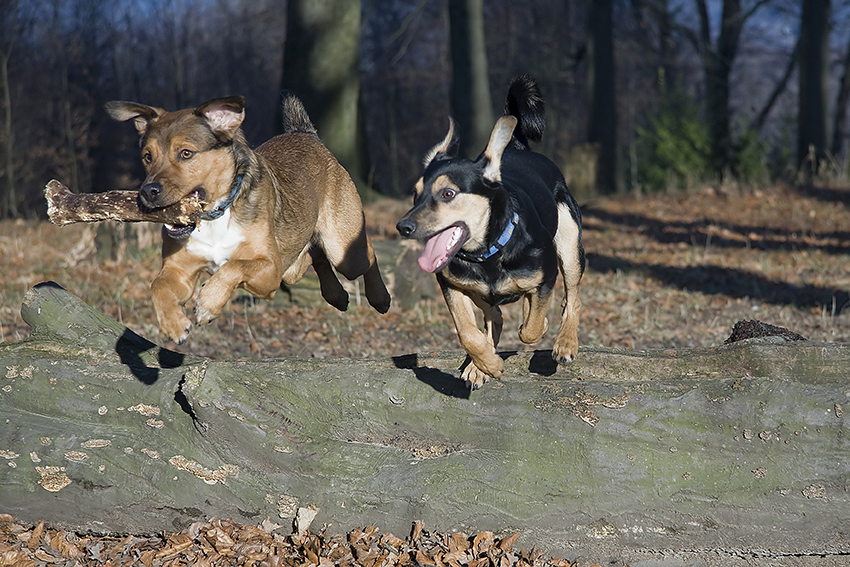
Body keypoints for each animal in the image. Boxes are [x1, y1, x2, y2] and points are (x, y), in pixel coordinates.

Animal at [103, 91, 390, 344]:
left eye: (186, 153)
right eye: (147, 157)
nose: (147, 192)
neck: (215, 215)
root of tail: (306, 134)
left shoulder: (270, 270)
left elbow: (233, 266)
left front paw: (208, 304)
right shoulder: (179, 270)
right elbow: (158, 285)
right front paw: (174, 325)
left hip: (342, 250)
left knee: (367, 251)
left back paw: (380, 298)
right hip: (293, 266)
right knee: (314, 255)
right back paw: (337, 296)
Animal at [398, 74, 584, 390]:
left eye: (448, 193)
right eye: (415, 193)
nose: (403, 227)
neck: (488, 253)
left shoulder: (546, 276)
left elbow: (531, 329)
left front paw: (536, 326)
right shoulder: (451, 285)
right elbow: (468, 331)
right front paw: (487, 363)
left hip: (570, 246)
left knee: (572, 298)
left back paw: (566, 344)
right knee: (492, 314)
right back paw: (480, 362)